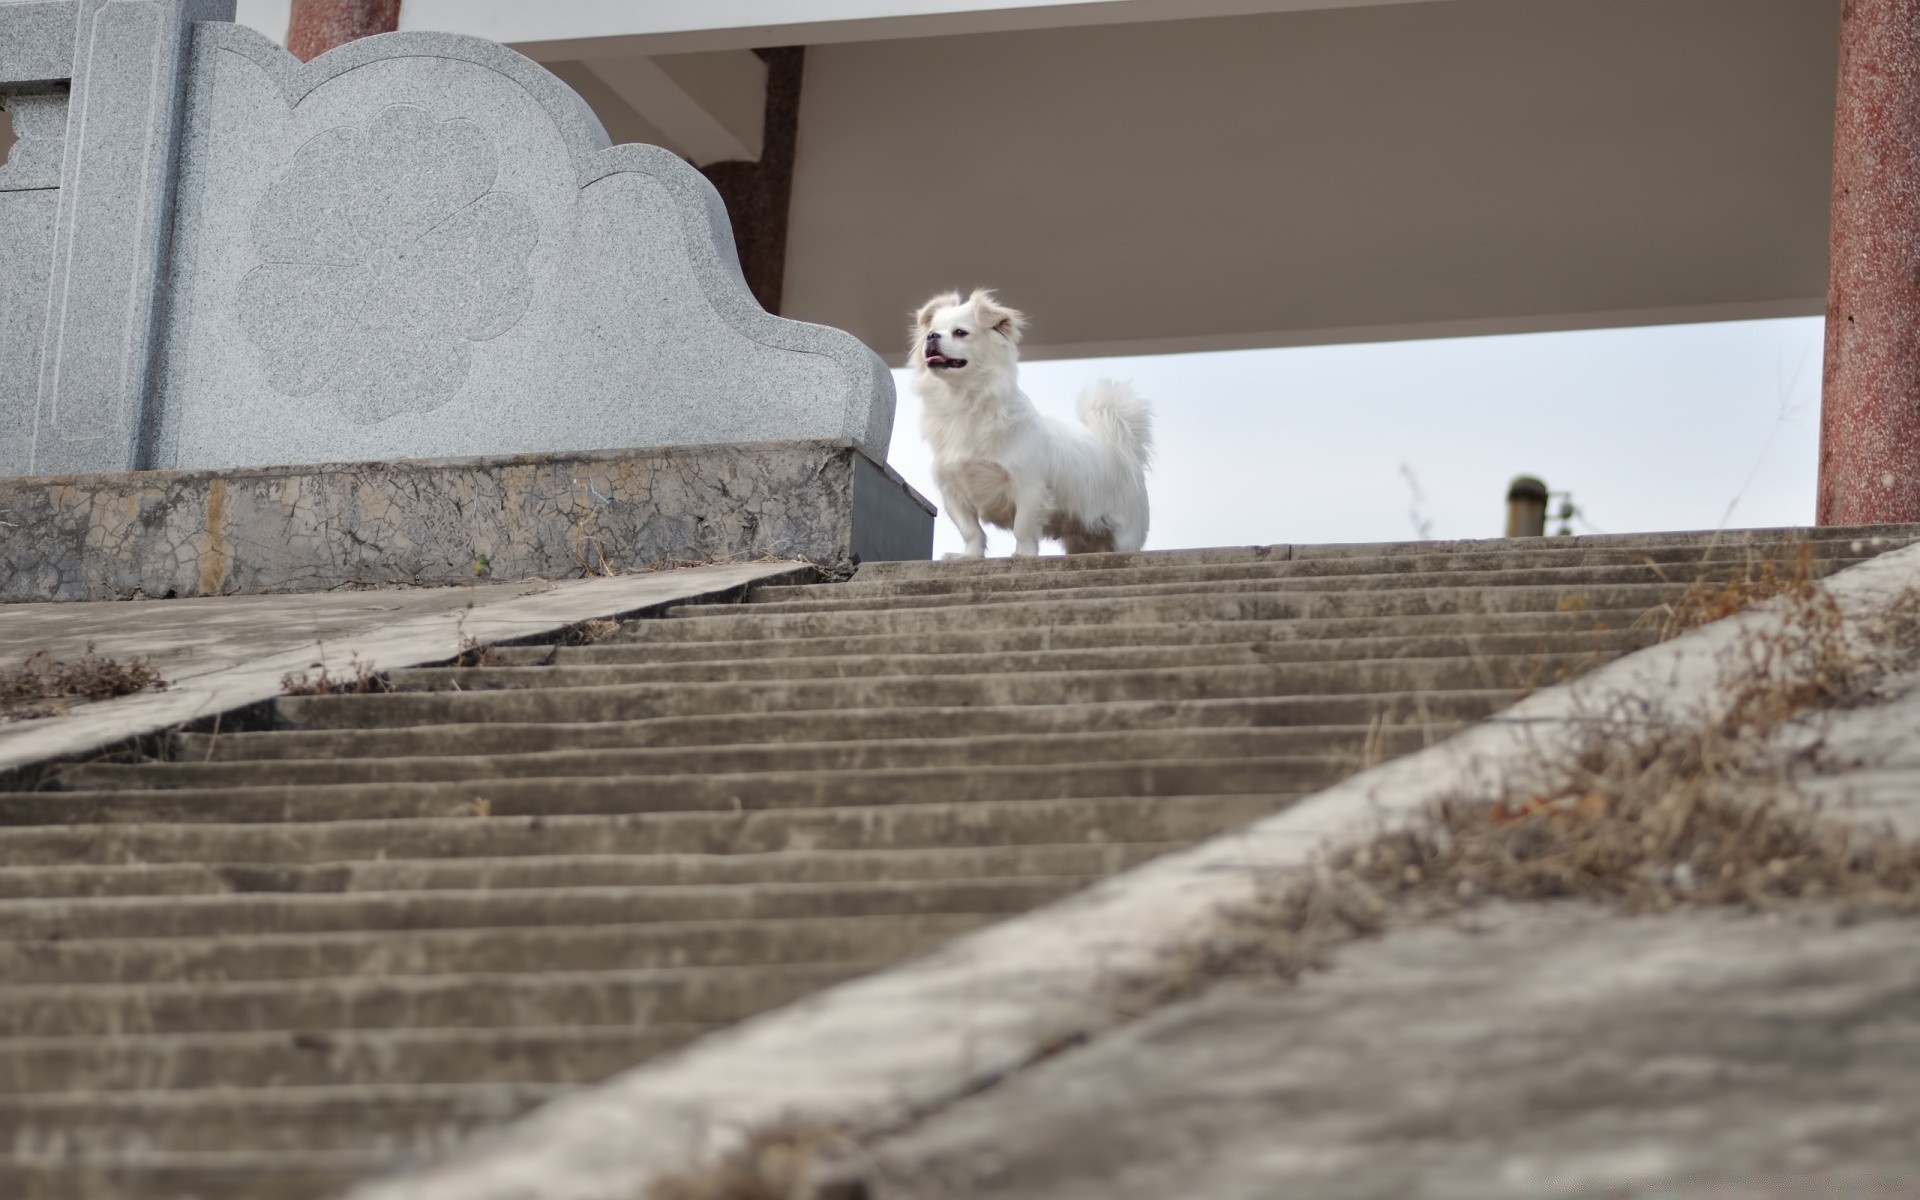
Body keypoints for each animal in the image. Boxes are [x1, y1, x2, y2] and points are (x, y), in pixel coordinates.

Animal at [913, 289, 1152, 556]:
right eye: (932, 330)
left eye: (960, 333)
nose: (932, 336)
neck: (961, 401)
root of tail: (1120, 447)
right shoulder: (953, 492)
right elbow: (971, 531)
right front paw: (968, 556)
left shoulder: (1029, 488)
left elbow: (1023, 528)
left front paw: (1023, 555)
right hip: (1082, 540)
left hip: (1124, 534)